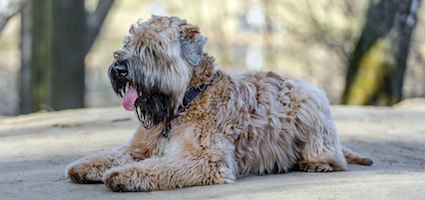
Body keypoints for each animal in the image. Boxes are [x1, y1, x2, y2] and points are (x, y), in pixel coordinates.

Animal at [65, 15, 372, 192]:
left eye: (151, 49)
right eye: (128, 43)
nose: (119, 69)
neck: (185, 101)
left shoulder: (203, 159)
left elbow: (156, 167)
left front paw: (121, 175)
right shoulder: (139, 148)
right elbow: (111, 154)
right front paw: (84, 166)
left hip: (310, 97)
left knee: (331, 154)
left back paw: (316, 162)